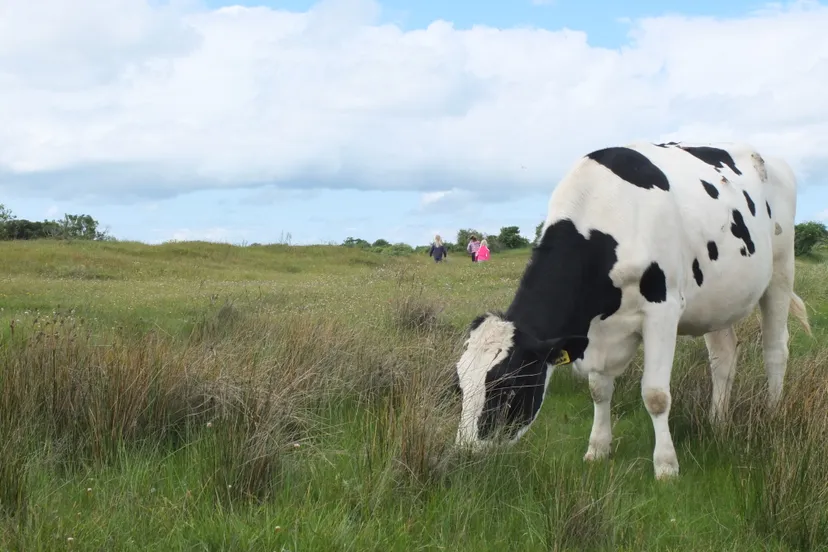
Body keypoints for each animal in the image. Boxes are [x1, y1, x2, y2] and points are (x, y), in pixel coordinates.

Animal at [453, 141, 812, 480]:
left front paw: (666, 466)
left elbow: (655, 395)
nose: (465, 453)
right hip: (718, 296)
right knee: (723, 356)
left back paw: (772, 412)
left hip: (781, 269)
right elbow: (599, 390)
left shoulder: (662, 311)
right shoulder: (595, 328)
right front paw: (597, 449)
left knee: (775, 348)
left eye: (507, 388)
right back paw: (717, 421)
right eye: (459, 385)